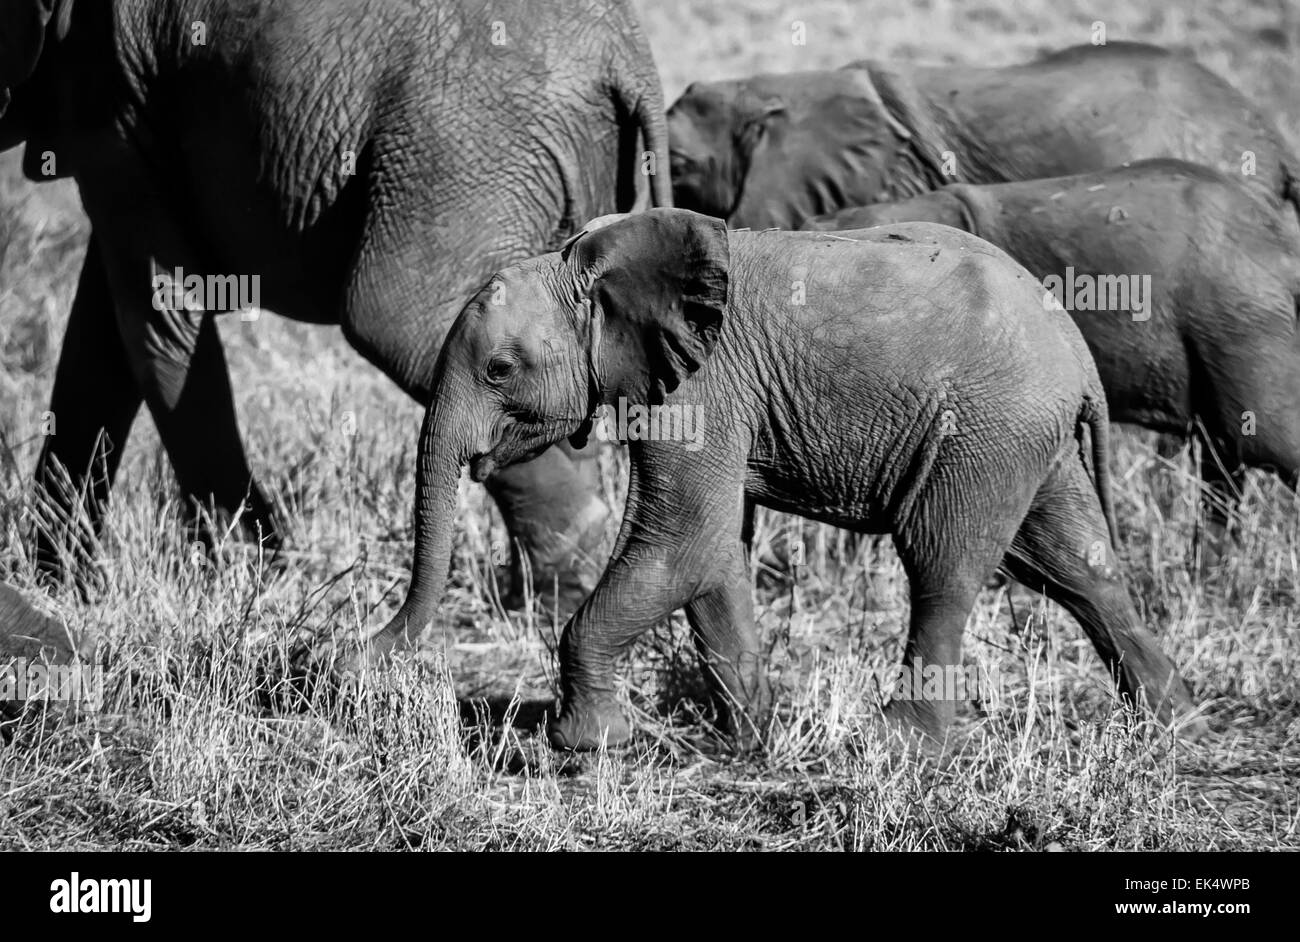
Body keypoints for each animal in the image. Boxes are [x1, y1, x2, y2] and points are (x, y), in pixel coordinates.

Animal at [2, 0, 670, 602]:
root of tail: (632, 53)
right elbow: (102, 333)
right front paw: (57, 582)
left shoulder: (110, 96)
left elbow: (160, 313)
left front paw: (253, 572)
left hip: (466, 138)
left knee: (396, 320)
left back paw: (565, 582)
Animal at [364, 207, 1196, 748]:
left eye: (500, 370)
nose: (364, 653)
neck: (588, 260)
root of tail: (1075, 346)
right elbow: (714, 553)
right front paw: (750, 737)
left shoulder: (702, 387)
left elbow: (682, 542)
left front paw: (585, 746)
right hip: (1030, 436)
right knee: (1076, 563)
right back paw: (1167, 716)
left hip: (985, 429)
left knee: (943, 566)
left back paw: (896, 747)